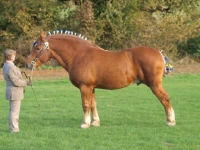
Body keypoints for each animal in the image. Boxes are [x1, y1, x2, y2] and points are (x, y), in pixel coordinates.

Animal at [25, 30, 176, 129]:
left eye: (37, 48)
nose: (27, 64)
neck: (79, 55)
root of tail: (159, 53)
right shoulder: (91, 87)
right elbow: (93, 104)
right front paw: (95, 122)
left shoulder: (85, 87)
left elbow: (86, 104)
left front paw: (85, 123)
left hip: (154, 85)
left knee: (165, 98)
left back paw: (170, 121)